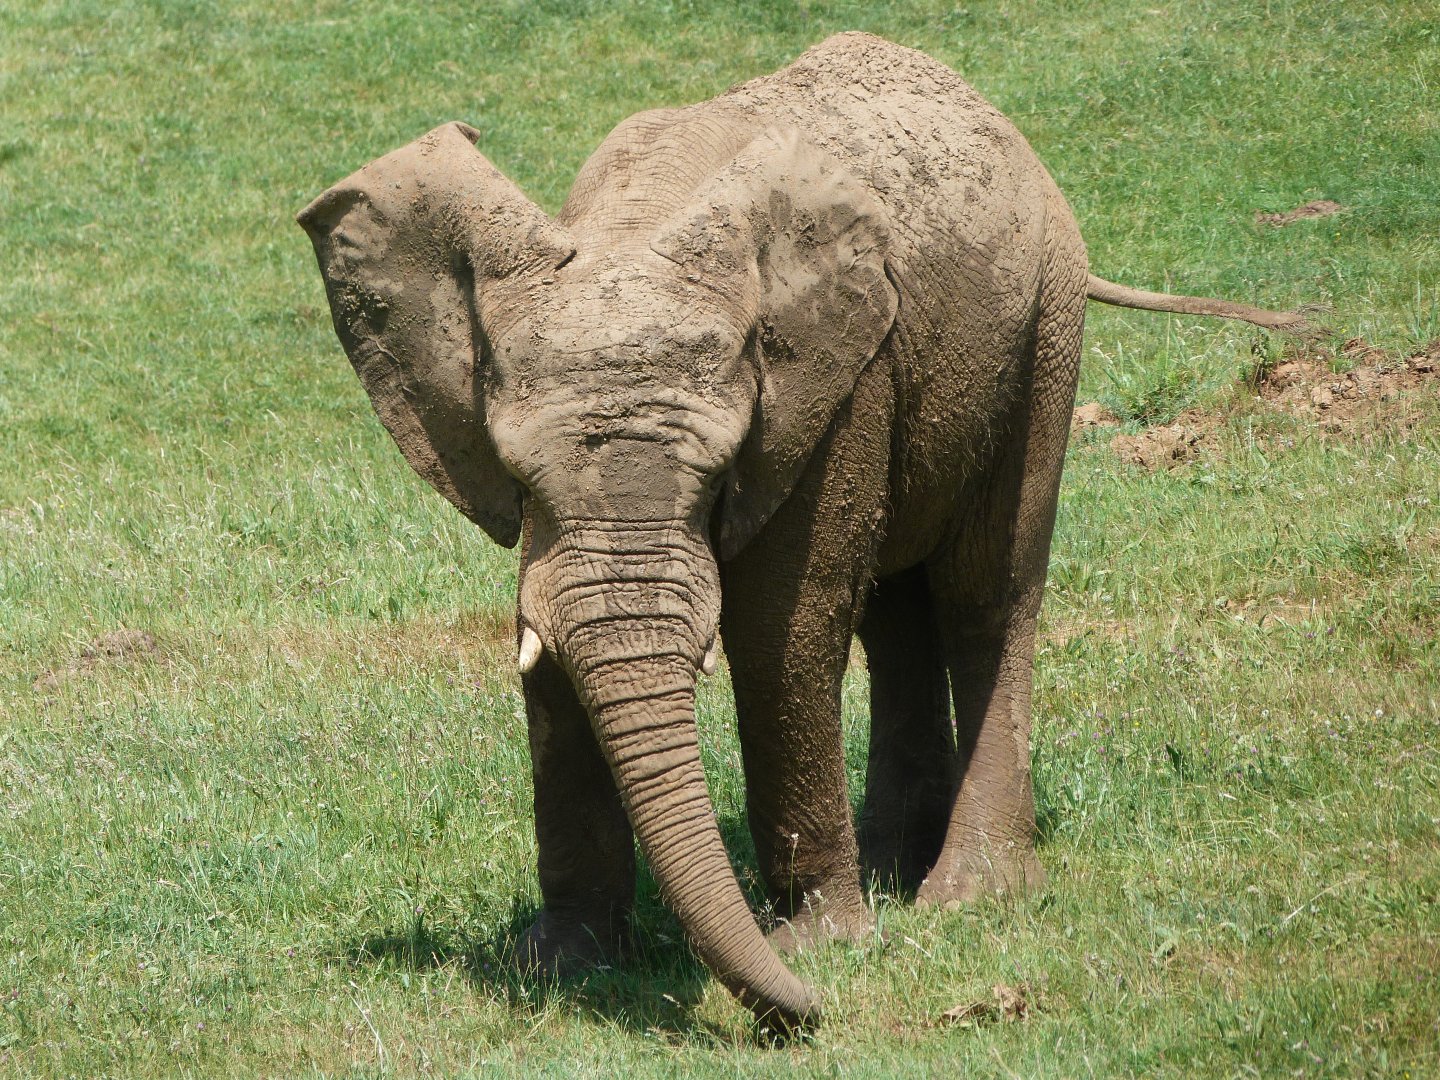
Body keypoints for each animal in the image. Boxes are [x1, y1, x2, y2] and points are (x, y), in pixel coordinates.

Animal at [297, 33, 1306, 1031]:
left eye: (718, 476)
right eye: (515, 476)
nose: (803, 1016)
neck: (635, 223)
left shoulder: (838, 378)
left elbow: (784, 628)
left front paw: (821, 949)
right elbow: (544, 651)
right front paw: (564, 967)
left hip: (1043, 328)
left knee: (986, 593)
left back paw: (968, 896)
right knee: (896, 615)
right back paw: (892, 871)